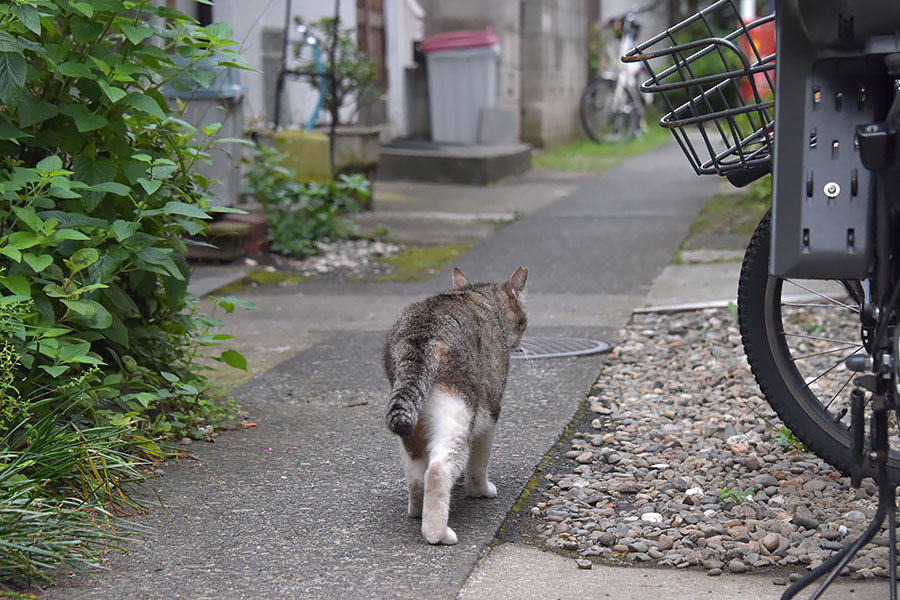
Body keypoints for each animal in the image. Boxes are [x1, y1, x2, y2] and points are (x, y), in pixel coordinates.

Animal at [382, 266, 528, 544]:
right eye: (524, 320)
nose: (520, 340)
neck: (479, 296)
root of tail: (421, 333)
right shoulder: (490, 413)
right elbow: (479, 463)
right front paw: (479, 490)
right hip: (459, 412)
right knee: (437, 470)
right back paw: (437, 533)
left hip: (411, 422)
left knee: (417, 476)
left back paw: (417, 510)